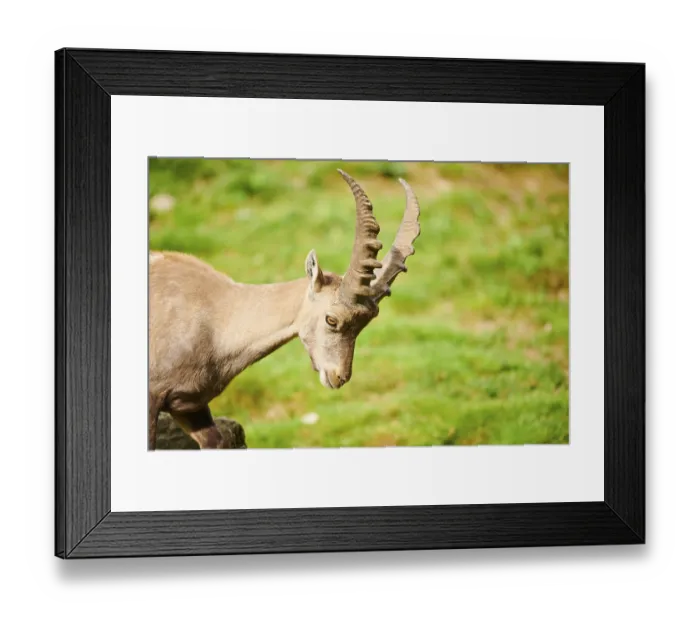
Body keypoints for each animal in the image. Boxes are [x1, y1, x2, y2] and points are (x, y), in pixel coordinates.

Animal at [148, 169, 421, 449]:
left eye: (368, 319)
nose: (339, 377)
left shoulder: (191, 407)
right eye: (331, 319)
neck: (217, 318)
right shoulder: (152, 398)